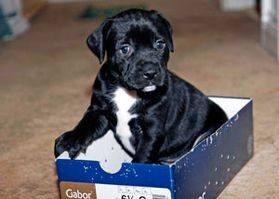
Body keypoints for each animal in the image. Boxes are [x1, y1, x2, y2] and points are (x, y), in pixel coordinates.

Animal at [54, 9, 228, 164]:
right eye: (125, 49)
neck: (126, 90)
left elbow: (143, 157)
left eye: (160, 44)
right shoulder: (99, 111)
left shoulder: (151, 129)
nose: (150, 73)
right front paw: (70, 140)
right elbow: (86, 124)